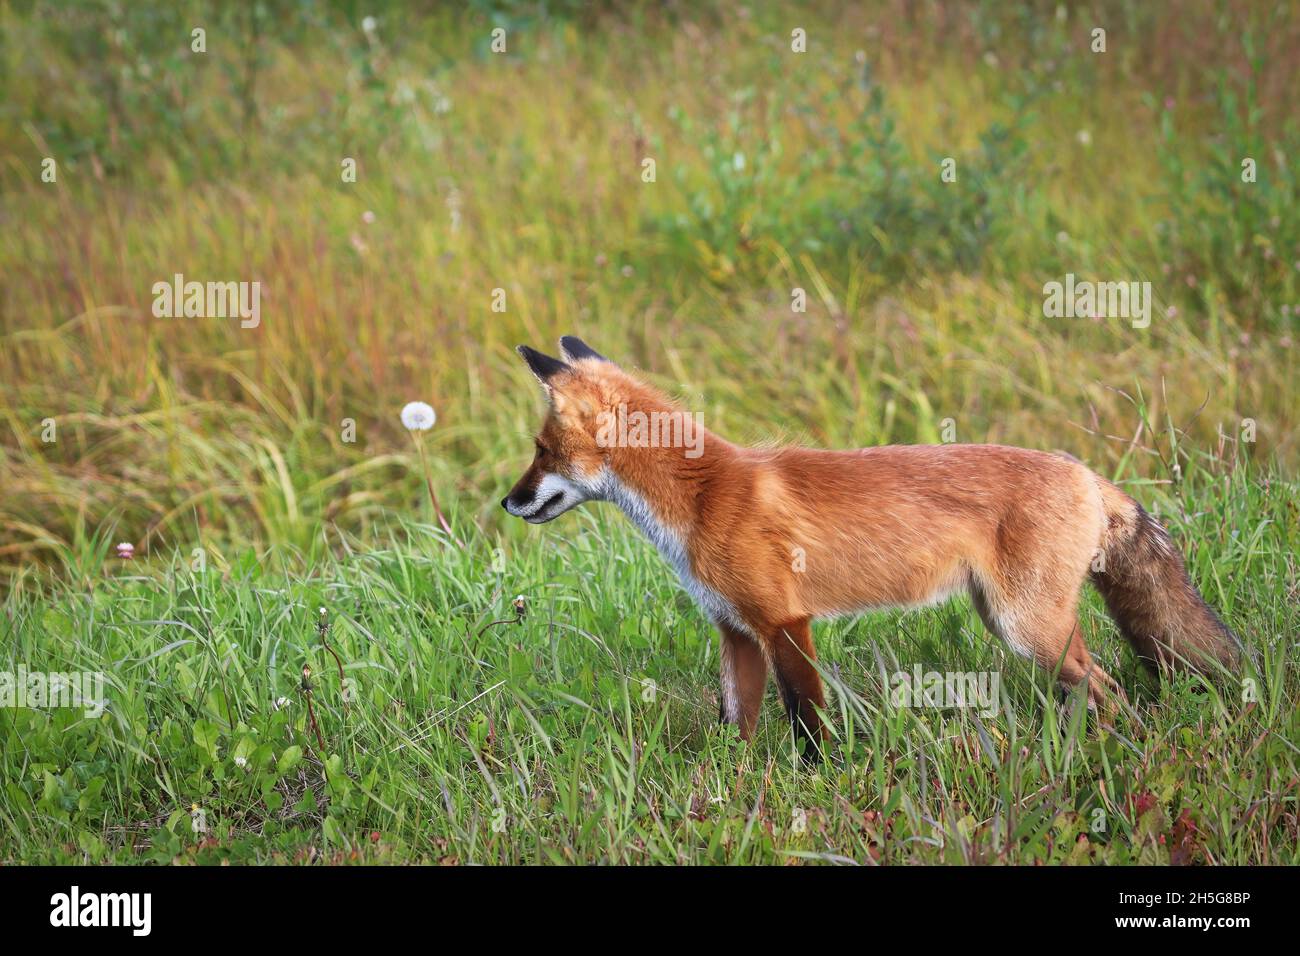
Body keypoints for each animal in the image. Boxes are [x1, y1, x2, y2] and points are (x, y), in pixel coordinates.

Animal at [499, 340, 1237, 759]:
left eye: (540, 451)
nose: (507, 502)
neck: (701, 495)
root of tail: (1086, 473)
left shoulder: (784, 622)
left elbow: (806, 723)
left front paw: (814, 786)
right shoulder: (735, 632)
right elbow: (736, 726)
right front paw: (730, 792)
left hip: (1029, 629)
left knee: (1109, 690)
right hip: (1014, 622)